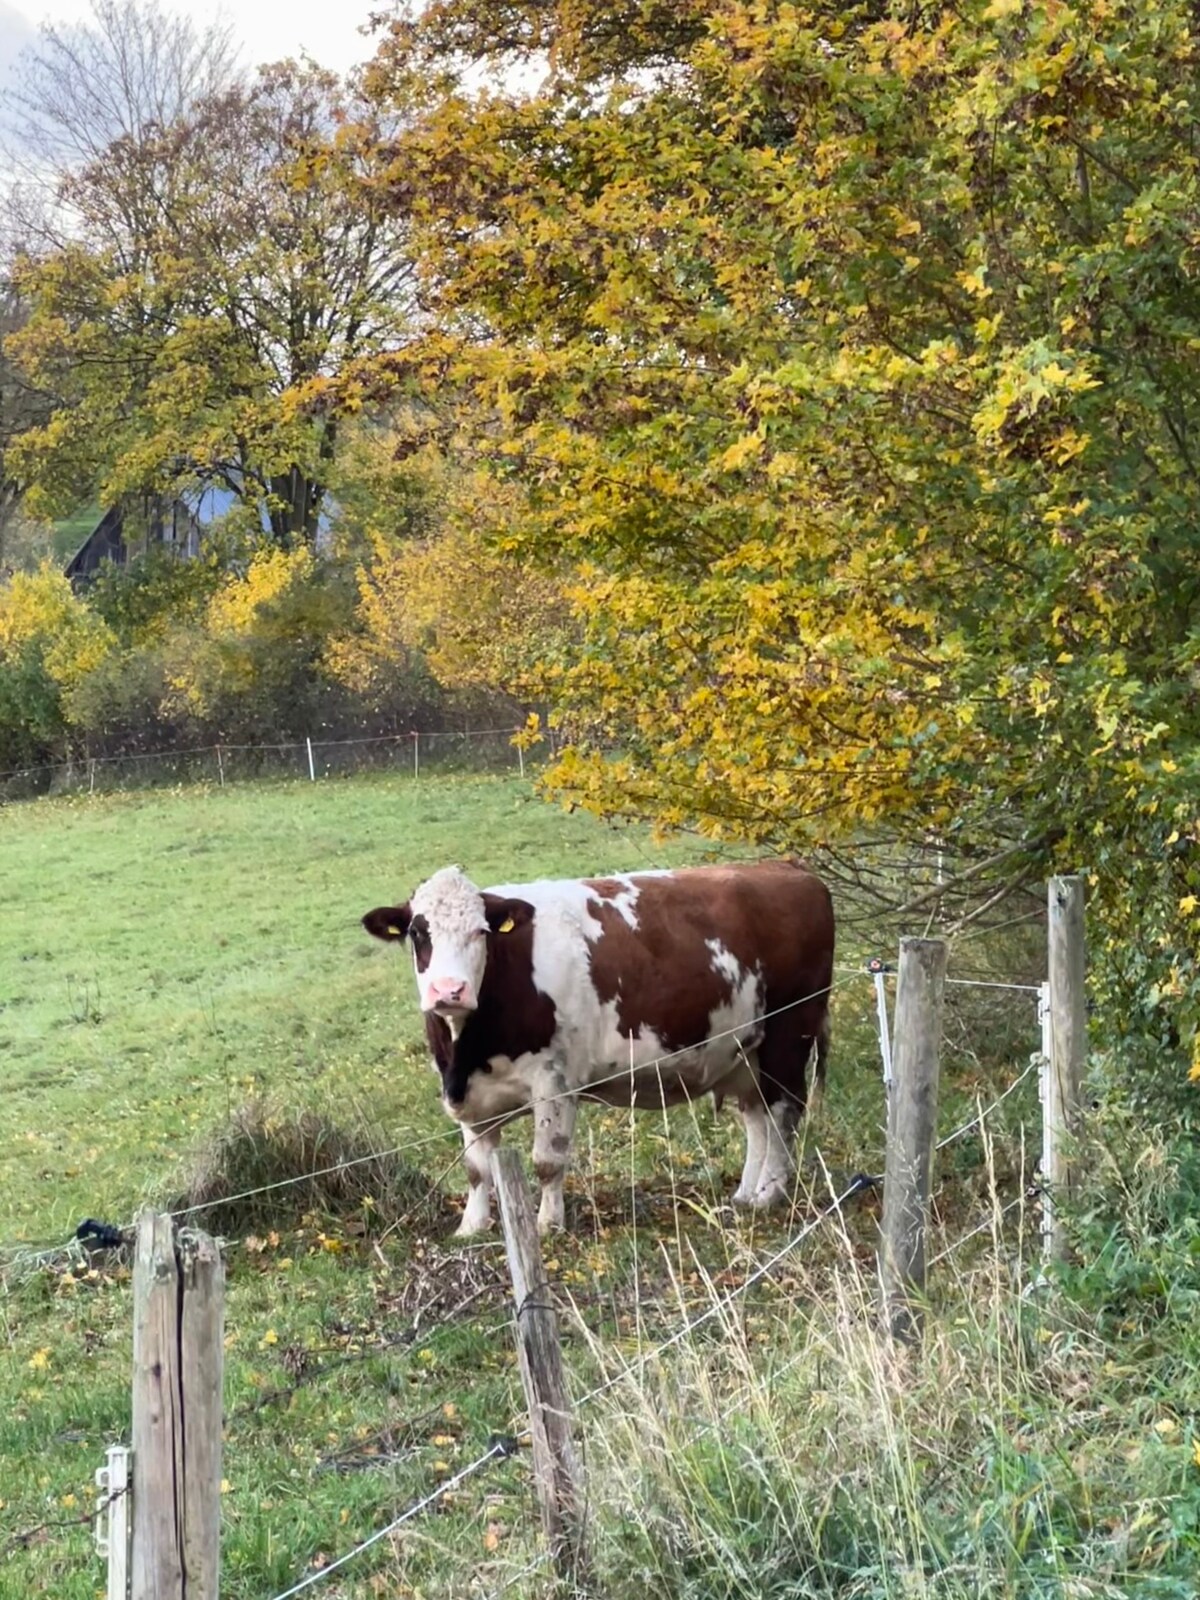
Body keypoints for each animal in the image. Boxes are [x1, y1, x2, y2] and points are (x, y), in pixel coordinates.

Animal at [361, 864, 838, 1235]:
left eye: (481, 932)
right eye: (418, 933)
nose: (450, 991)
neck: (467, 1050)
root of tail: (788, 869)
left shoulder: (554, 1080)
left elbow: (548, 1160)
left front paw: (548, 1225)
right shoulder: (470, 1094)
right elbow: (476, 1169)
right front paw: (472, 1227)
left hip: (789, 1031)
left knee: (784, 1111)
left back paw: (770, 1193)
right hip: (746, 1051)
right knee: (758, 1118)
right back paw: (745, 1194)